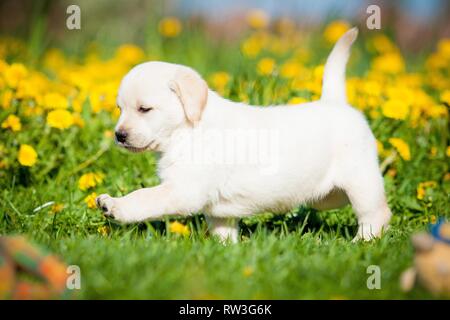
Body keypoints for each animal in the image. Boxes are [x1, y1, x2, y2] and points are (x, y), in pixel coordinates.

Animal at [96, 28, 392, 242]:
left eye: (144, 109)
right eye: (120, 109)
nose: (119, 135)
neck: (187, 131)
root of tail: (335, 102)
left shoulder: (182, 191)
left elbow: (144, 197)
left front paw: (115, 206)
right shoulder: (217, 210)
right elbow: (223, 232)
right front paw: (224, 251)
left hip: (361, 181)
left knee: (376, 214)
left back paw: (363, 242)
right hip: (326, 197)